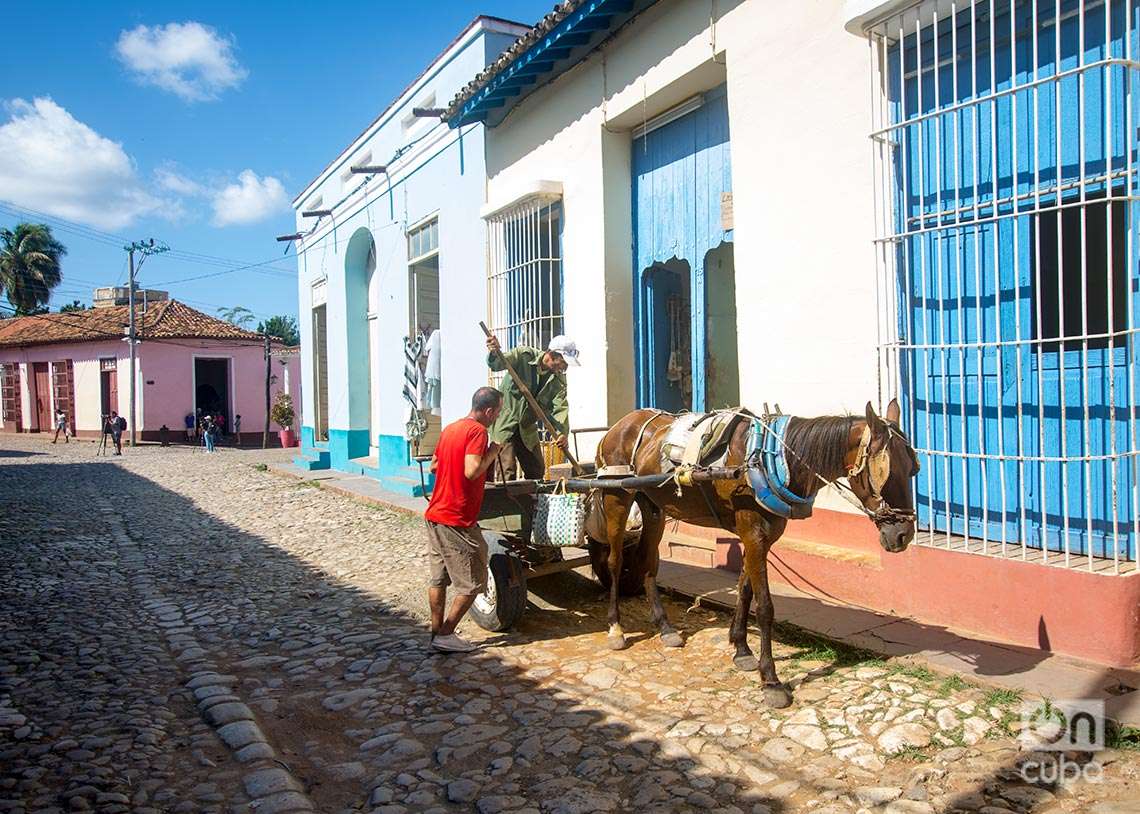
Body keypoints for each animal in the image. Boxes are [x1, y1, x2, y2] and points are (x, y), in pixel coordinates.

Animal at [592, 399, 921, 702]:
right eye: (886, 471)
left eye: (913, 468)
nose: (902, 534)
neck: (773, 460)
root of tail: (620, 424)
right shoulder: (753, 534)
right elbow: (765, 608)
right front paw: (771, 680)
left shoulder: (759, 538)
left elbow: (745, 590)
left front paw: (741, 649)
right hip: (617, 497)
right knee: (614, 561)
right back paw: (616, 628)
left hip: (653, 505)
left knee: (648, 560)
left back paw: (665, 627)